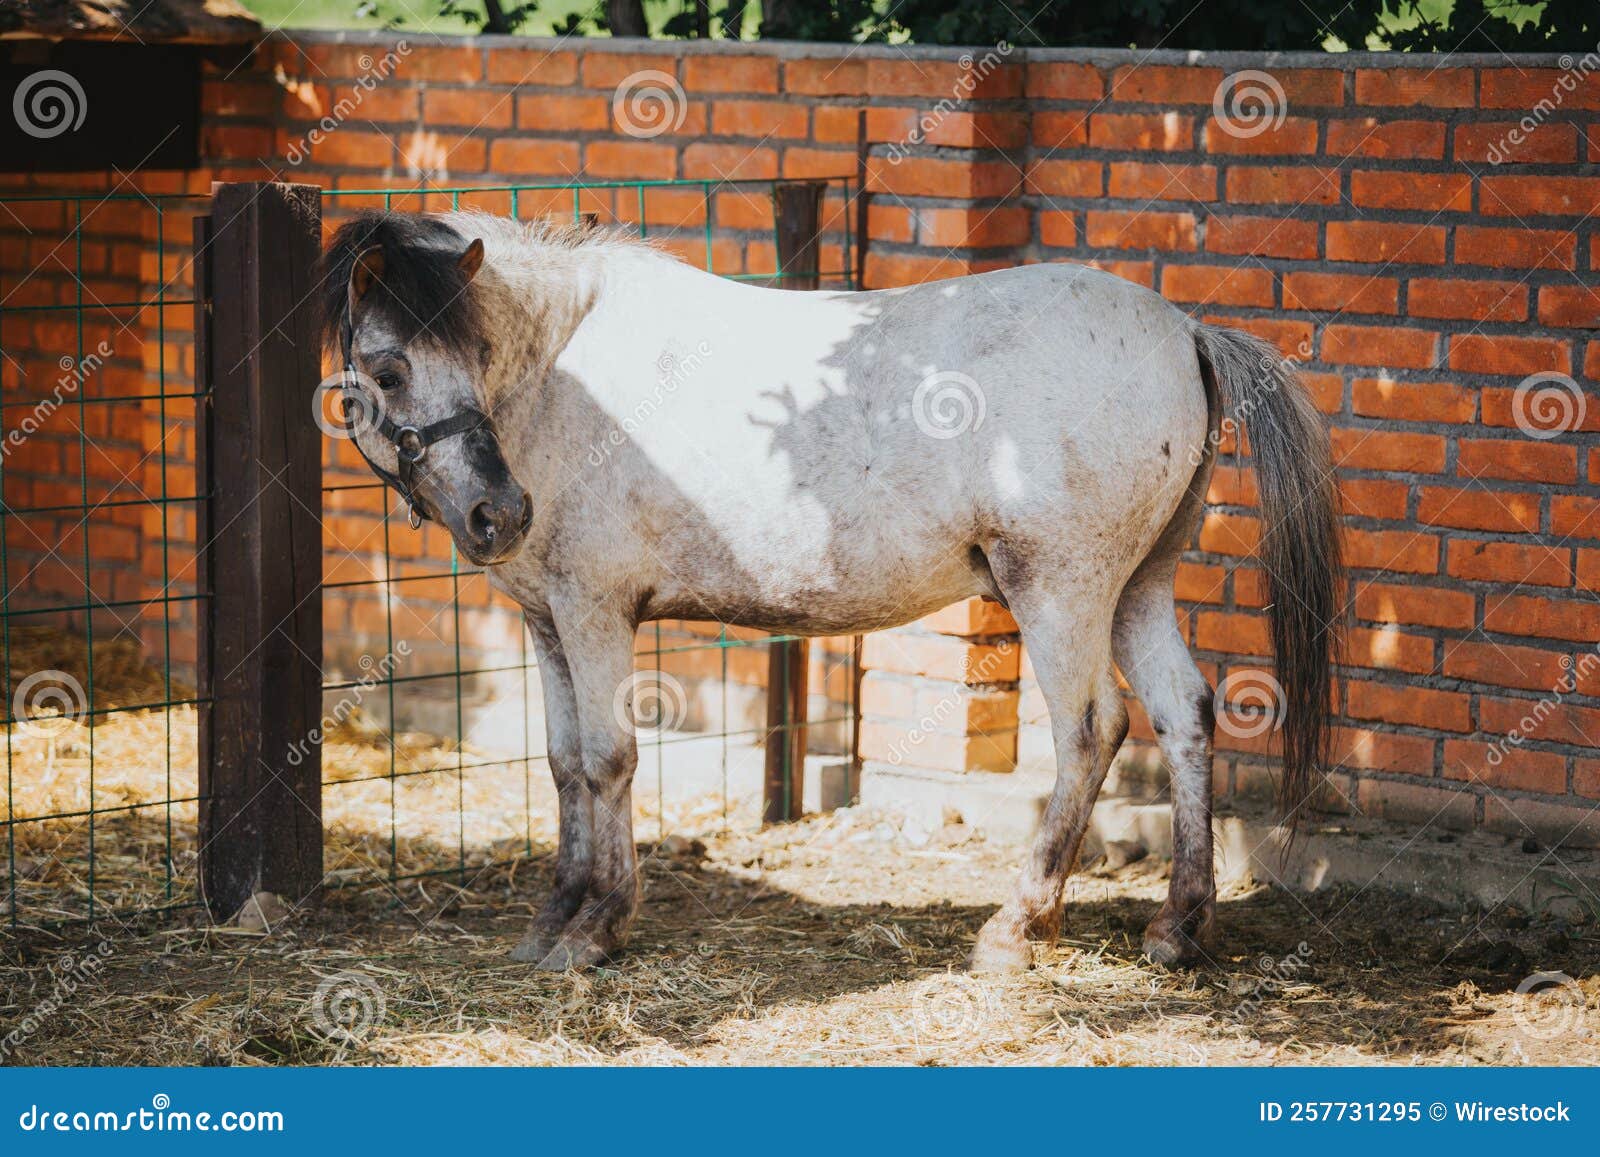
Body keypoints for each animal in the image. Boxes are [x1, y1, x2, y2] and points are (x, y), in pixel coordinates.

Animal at [317, 209, 1342, 972]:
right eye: (390, 367)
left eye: (463, 355)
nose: (497, 513)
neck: (562, 377)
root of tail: (1186, 331)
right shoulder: (546, 619)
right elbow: (567, 763)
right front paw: (554, 915)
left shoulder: (596, 612)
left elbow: (609, 759)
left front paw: (597, 926)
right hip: (1138, 587)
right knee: (1183, 713)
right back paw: (1177, 925)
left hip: (1062, 588)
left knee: (1093, 728)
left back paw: (1018, 926)